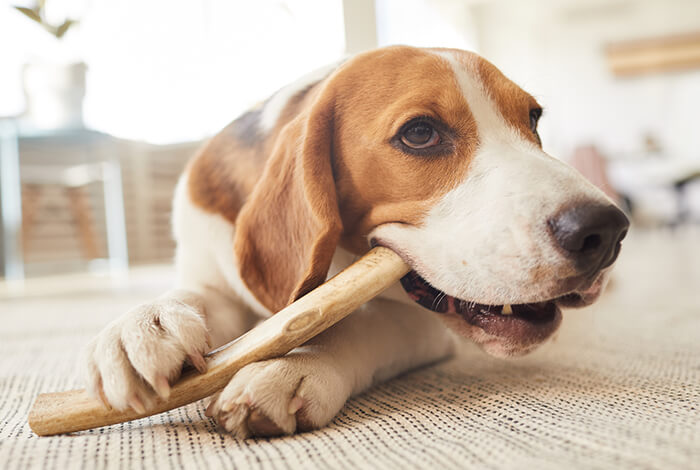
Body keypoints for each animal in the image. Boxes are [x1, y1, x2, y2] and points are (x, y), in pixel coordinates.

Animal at [82, 46, 628, 438]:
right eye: (420, 133)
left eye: (533, 119)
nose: (606, 231)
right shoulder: (209, 274)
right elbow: (190, 298)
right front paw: (142, 327)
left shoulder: (416, 322)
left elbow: (356, 325)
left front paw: (292, 366)